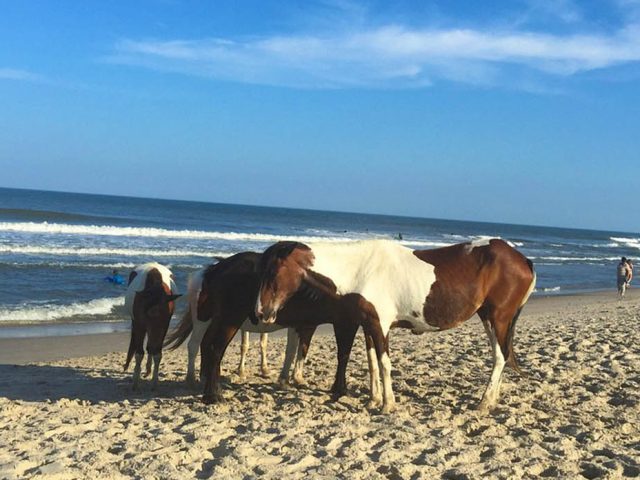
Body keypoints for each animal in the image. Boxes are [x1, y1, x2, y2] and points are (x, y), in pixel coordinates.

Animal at [124, 262, 181, 390]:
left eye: (164, 310)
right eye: (147, 309)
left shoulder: (163, 326)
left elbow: (157, 353)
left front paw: (154, 382)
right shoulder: (140, 324)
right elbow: (139, 354)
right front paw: (135, 382)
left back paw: (149, 369)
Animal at [254, 239, 536, 412]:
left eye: (274, 272)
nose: (261, 312)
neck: (360, 269)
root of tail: (523, 260)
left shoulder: (380, 325)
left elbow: (384, 364)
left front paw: (387, 404)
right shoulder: (368, 325)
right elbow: (372, 364)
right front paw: (374, 399)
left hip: (498, 318)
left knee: (500, 357)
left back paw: (484, 403)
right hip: (489, 318)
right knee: (501, 355)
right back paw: (492, 401)